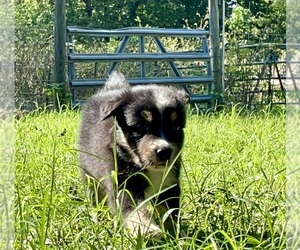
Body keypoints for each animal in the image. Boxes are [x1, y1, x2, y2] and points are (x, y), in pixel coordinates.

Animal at [78, 71, 189, 237]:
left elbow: (170, 214)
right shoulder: (123, 182)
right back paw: (98, 220)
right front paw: (146, 229)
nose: (164, 152)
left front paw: (174, 236)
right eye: (141, 128)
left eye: (175, 127)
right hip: (90, 175)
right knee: (96, 200)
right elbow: (133, 209)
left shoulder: (168, 184)